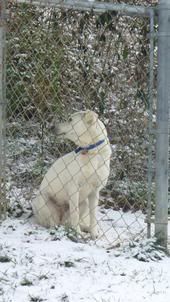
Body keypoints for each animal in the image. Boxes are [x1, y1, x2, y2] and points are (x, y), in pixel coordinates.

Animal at [32, 109, 111, 239]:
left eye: (70, 119)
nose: (51, 127)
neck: (91, 152)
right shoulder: (74, 187)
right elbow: (75, 213)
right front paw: (77, 233)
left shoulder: (95, 191)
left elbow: (93, 216)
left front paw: (94, 234)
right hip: (43, 202)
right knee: (53, 223)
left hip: (84, 203)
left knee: (67, 222)